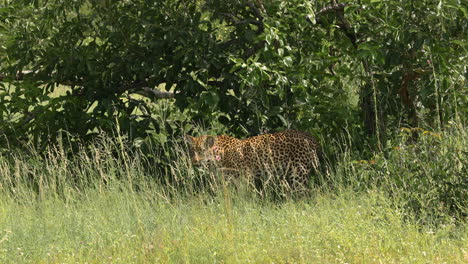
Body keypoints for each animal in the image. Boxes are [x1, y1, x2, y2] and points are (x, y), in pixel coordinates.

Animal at [185, 129, 324, 190]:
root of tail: (311, 137)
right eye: (192, 152)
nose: (195, 162)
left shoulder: (245, 176)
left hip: (299, 172)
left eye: (201, 151)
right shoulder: (228, 179)